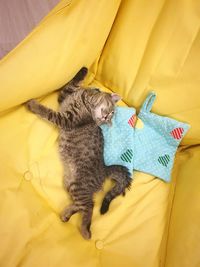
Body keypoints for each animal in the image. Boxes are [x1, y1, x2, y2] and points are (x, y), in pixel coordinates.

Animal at [25, 67, 132, 241]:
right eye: (110, 112)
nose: (106, 118)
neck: (85, 101)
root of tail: (105, 169)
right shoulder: (64, 97)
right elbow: (72, 84)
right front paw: (83, 70)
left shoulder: (67, 120)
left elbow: (48, 112)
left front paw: (33, 105)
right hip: (70, 184)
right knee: (80, 205)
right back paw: (66, 214)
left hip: (79, 186)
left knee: (89, 207)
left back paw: (85, 230)